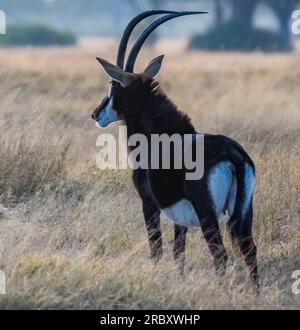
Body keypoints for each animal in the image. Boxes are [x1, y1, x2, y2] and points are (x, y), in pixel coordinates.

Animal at [91, 9, 258, 288]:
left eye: (113, 86)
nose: (95, 114)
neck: (160, 134)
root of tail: (232, 155)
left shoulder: (149, 204)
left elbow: (156, 250)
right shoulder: (181, 218)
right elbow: (178, 254)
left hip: (208, 214)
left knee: (220, 255)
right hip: (244, 213)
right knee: (250, 251)